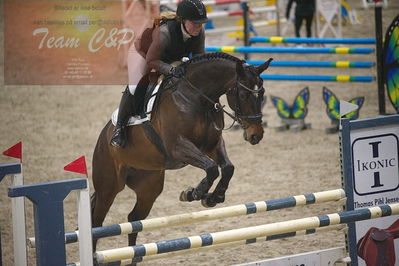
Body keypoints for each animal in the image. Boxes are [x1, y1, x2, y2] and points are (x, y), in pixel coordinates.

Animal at [90, 52, 272, 249]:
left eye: (262, 93)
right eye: (244, 94)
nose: (256, 135)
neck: (197, 98)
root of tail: (103, 138)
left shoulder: (213, 144)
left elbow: (228, 168)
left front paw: (213, 197)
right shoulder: (178, 147)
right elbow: (212, 168)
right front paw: (193, 193)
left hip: (148, 187)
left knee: (134, 219)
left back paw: (135, 252)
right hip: (108, 188)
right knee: (97, 223)